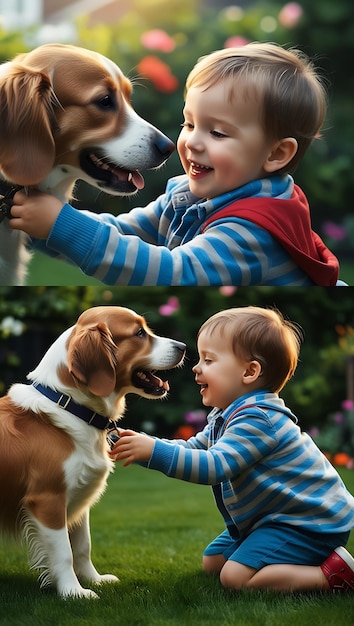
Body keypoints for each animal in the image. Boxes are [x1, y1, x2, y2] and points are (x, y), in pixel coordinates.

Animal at [0, 304, 187, 596]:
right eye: (139, 333)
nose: (184, 347)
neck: (70, 406)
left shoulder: (79, 496)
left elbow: (82, 546)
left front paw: (93, 579)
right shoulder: (47, 500)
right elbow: (64, 552)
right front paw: (73, 592)